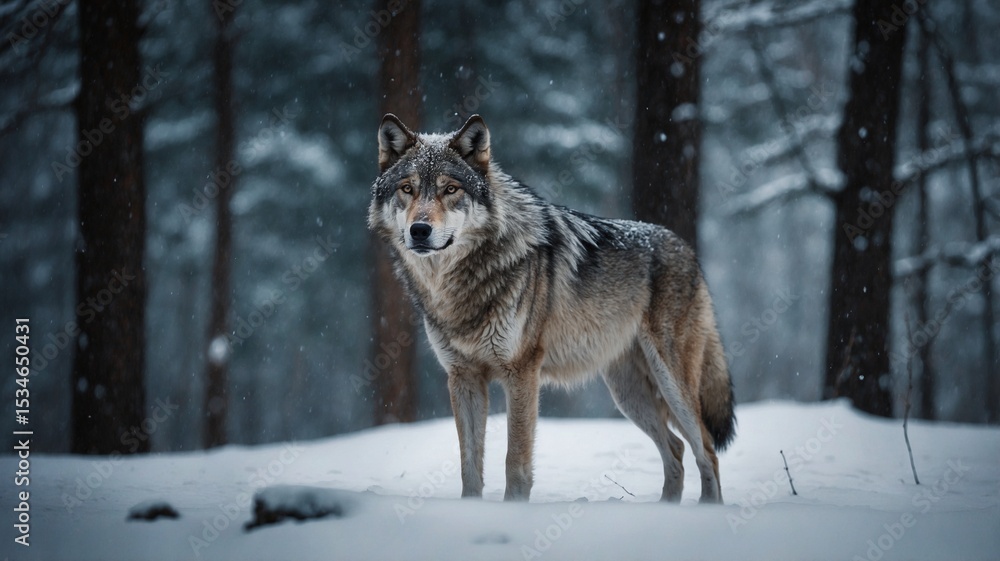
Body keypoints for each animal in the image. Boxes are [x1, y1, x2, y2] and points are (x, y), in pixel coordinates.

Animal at [369, 114, 735, 503]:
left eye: (450, 189)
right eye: (407, 189)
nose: (419, 230)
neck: (459, 285)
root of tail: (687, 248)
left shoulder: (521, 372)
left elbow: (515, 462)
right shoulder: (463, 377)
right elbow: (469, 466)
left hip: (671, 383)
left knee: (706, 449)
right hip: (628, 394)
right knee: (677, 449)